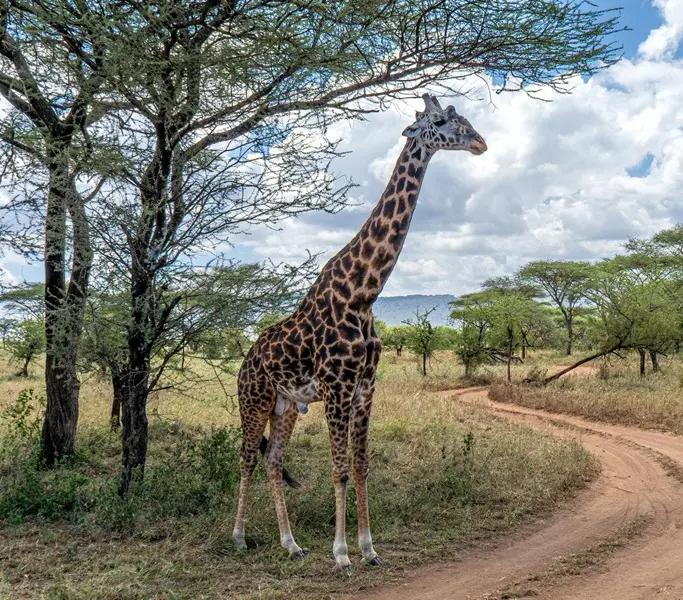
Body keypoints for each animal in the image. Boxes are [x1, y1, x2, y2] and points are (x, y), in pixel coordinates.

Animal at [232, 93, 487, 568]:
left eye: (463, 116)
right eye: (442, 121)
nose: (480, 142)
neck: (362, 293)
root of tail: (245, 362)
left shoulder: (365, 387)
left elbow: (362, 466)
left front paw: (369, 549)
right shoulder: (336, 386)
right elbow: (339, 469)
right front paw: (341, 554)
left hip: (285, 405)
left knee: (273, 459)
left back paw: (291, 543)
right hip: (253, 399)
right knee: (246, 458)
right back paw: (238, 537)